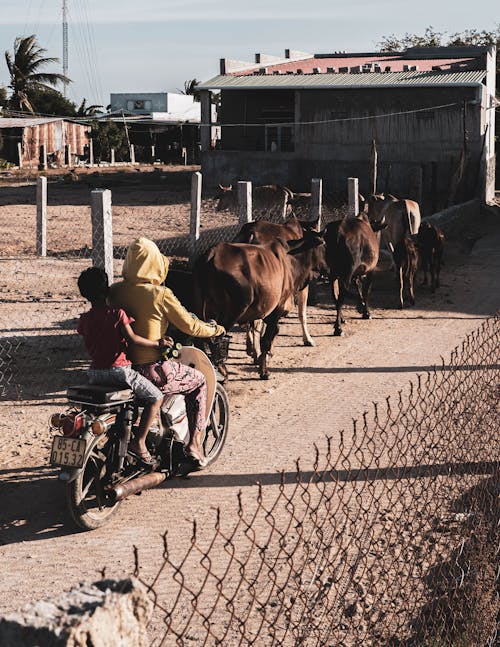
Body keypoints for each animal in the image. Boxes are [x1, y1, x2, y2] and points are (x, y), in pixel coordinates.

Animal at [191, 230, 324, 380]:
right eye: (324, 244)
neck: (290, 259)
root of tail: (212, 254)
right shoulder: (277, 310)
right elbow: (266, 338)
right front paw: (264, 370)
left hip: (201, 308)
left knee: (200, 340)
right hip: (232, 311)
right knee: (215, 339)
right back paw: (222, 372)